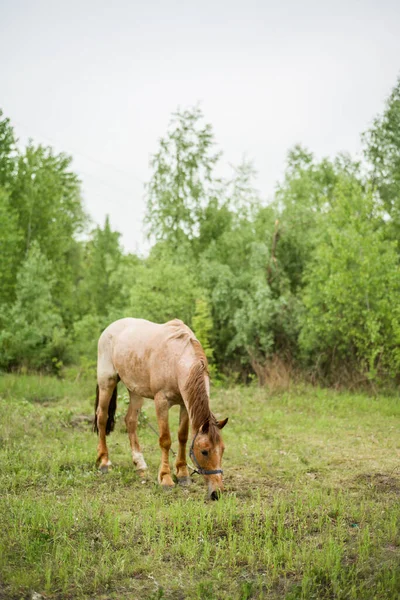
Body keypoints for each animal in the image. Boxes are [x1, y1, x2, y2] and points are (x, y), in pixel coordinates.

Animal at [92, 316, 227, 500]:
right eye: (205, 451)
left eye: (222, 450)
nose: (217, 493)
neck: (177, 360)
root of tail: (110, 328)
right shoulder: (161, 402)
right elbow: (165, 440)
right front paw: (165, 479)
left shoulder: (184, 405)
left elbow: (182, 437)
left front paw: (182, 474)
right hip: (107, 382)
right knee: (102, 417)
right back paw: (104, 462)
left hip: (135, 391)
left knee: (131, 421)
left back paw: (140, 465)